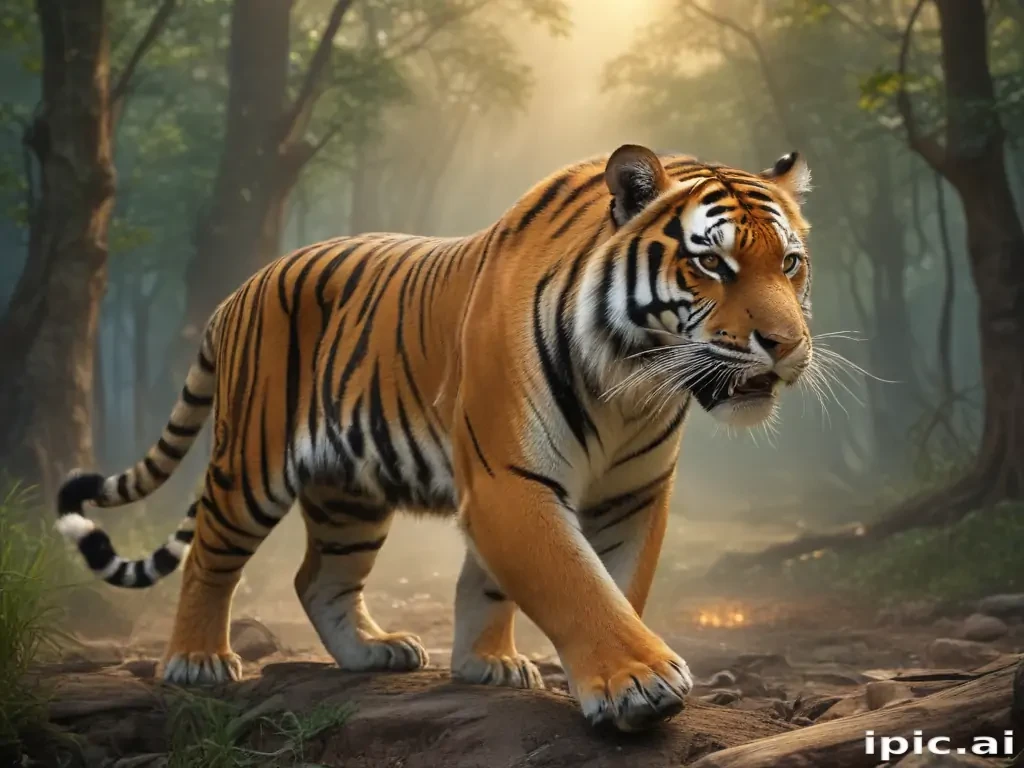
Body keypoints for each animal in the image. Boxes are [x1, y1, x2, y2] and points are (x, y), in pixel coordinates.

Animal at [56, 144, 813, 732]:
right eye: (712, 265)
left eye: (790, 263)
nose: (786, 344)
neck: (633, 381)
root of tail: (239, 292)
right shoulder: (509, 479)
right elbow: (573, 581)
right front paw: (638, 682)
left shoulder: (631, 495)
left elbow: (585, 584)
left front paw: (491, 664)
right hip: (251, 465)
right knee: (210, 555)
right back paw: (197, 660)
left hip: (348, 494)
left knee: (318, 578)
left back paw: (374, 652)